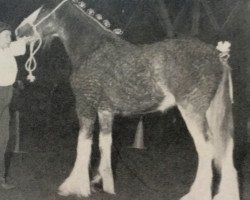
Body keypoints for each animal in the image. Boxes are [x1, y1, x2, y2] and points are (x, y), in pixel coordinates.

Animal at [15, 0, 240, 199]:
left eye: (44, 8)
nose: (19, 30)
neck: (93, 49)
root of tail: (218, 57)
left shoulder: (85, 106)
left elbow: (83, 144)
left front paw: (75, 186)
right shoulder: (105, 110)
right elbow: (104, 143)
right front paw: (103, 183)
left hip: (192, 110)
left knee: (206, 149)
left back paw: (196, 194)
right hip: (211, 112)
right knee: (224, 149)